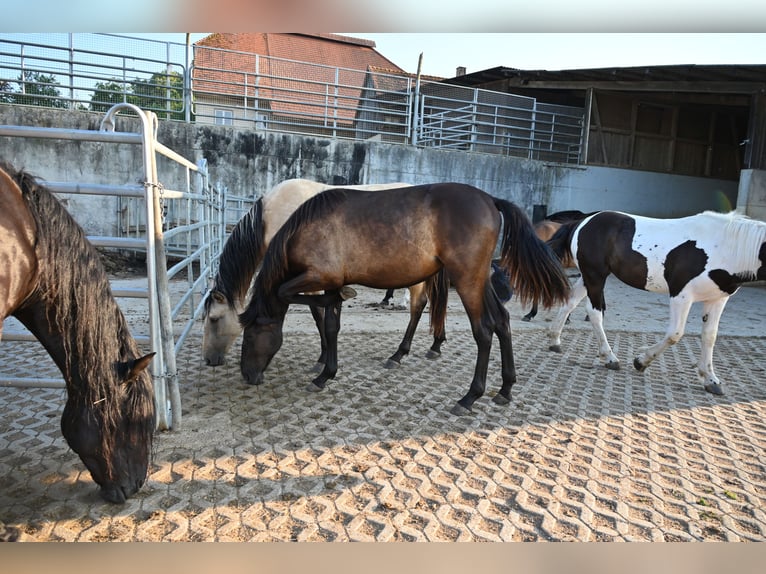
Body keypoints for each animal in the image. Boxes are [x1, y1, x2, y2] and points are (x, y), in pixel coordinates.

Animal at [204, 179, 452, 370]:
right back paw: (436, 344)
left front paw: (322, 359)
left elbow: (318, 314)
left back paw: (398, 354)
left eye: (214, 319)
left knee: (418, 305)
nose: (208, 360)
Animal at [238, 182, 570, 415]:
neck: (309, 227)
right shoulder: (330, 282)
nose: (247, 375)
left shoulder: (320, 278)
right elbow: (331, 325)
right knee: (502, 321)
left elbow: (286, 292)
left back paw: (469, 397)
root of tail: (490, 199)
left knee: (484, 331)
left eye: (251, 334)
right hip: (479, 280)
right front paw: (326, 374)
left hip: (467, 280)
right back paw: (505, 388)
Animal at [546, 209, 766, 395]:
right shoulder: (681, 295)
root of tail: (583, 222)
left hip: (588, 277)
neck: (724, 246)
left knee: (570, 302)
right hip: (595, 276)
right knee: (594, 312)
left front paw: (711, 380)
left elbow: (709, 336)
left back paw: (555, 341)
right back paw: (610, 358)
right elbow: (675, 334)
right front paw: (640, 362)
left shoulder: (717, 299)